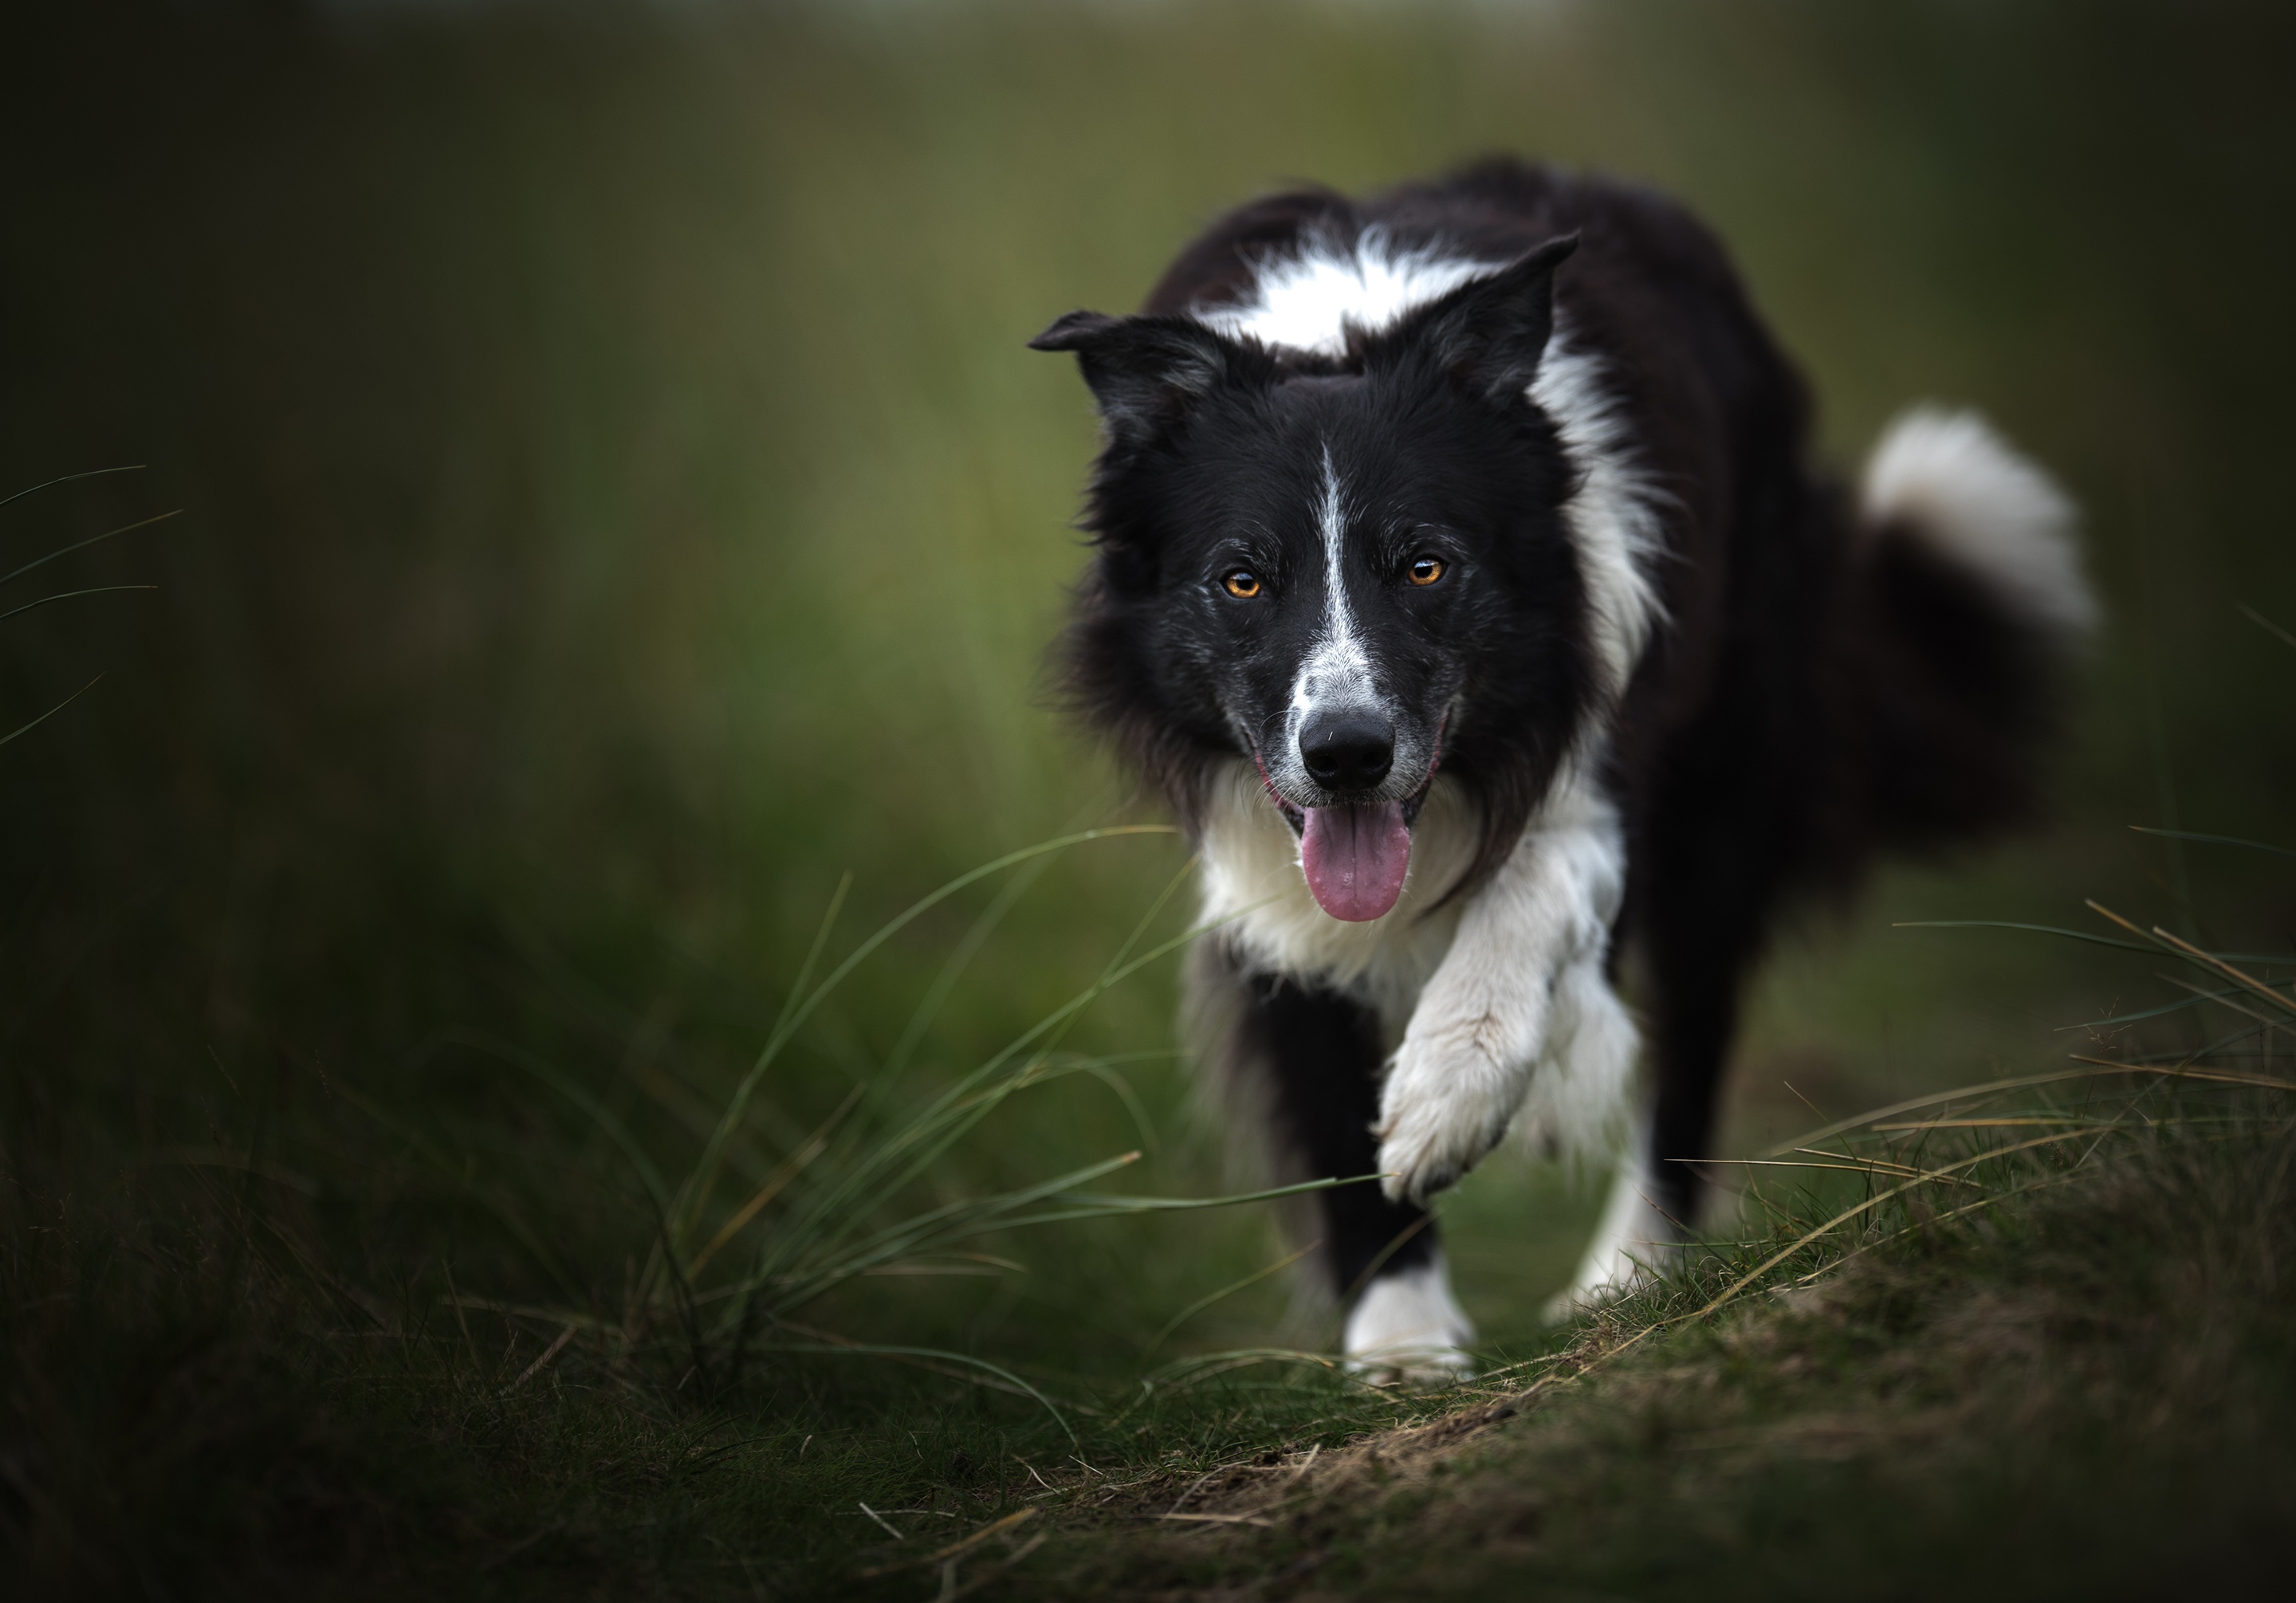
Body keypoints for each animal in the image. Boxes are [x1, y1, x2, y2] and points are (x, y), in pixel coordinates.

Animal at [1033, 159, 2094, 1377]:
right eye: (1243, 579)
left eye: (1426, 565)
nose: (1347, 756)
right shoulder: (1259, 856)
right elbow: (1323, 1071)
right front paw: (1401, 1337)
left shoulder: (1604, 738)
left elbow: (1535, 884)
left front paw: (1446, 1097)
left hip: (1728, 771)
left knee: (1688, 1041)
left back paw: (1631, 1270)